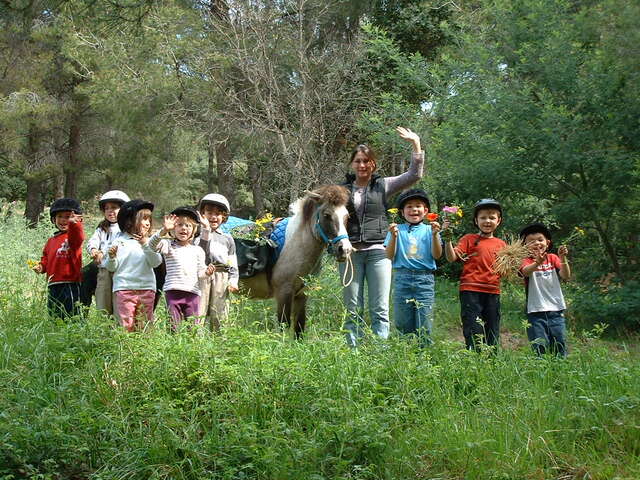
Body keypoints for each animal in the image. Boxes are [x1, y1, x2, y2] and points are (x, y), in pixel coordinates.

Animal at [239, 184, 352, 338]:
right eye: (327, 215)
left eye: (347, 216)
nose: (344, 249)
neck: (296, 244)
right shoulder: (284, 293)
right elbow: (283, 327)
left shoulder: (301, 295)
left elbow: (299, 329)